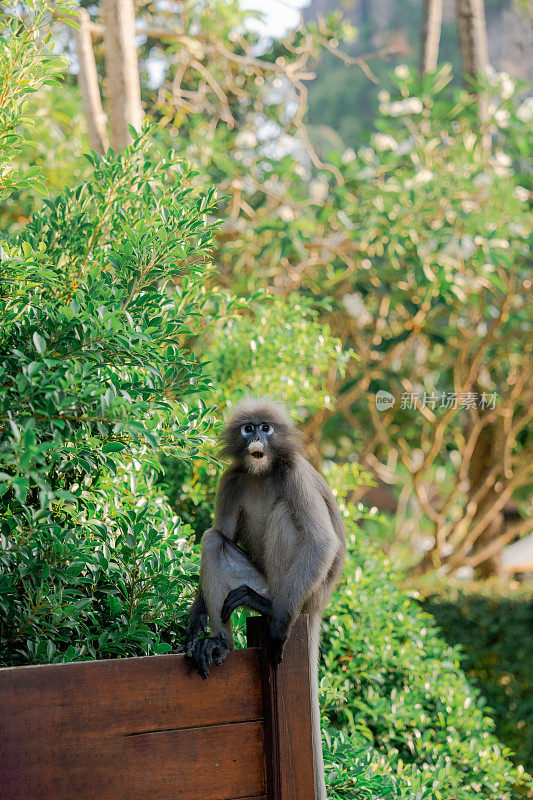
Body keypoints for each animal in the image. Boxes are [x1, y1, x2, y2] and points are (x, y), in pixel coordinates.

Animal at [184, 400, 344, 800]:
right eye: (248, 428)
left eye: (267, 428)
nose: (256, 436)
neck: (262, 472)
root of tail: (318, 603)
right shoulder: (231, 478)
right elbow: (221, 532)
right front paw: (195, 624)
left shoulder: (296, 474)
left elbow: (322, 543)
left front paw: (278, 627)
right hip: (254, 580)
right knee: (213, 540)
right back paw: (220, 644)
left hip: (296, 587)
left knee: (286, 515)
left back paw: (271, 610)